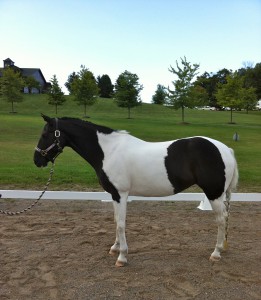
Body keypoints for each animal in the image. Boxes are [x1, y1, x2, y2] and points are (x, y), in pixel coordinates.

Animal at [34, 115, 238, 268]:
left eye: (45, 134)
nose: (37, 160)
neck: (108, 151)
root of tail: (225, 149)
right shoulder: (114, 195)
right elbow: (116, 221)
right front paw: (115, 248)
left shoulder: (121, 194)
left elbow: (121, 224)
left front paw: (122, 257)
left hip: (214, 193)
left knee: (221, 220)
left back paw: (216, 253)